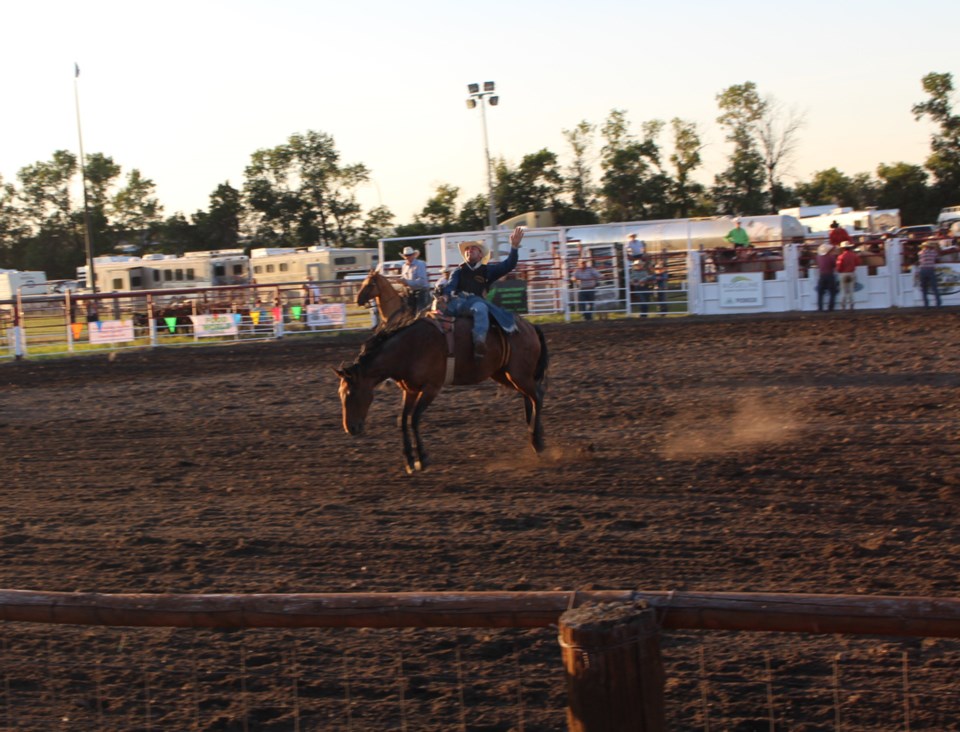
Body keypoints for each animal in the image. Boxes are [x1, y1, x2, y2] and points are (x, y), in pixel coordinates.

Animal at [336, 312, 548, 472]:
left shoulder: (431, 388)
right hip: (504, 374)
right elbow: (402, 420)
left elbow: (414, 419)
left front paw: (422, 458)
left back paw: (536, 441)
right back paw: (537, 437)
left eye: (351, 394)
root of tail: (529, 326)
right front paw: (409, 461)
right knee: (530, 397)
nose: (350, 428)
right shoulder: (410, 390)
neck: (410, 348)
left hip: (518, 375)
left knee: (537, 396)